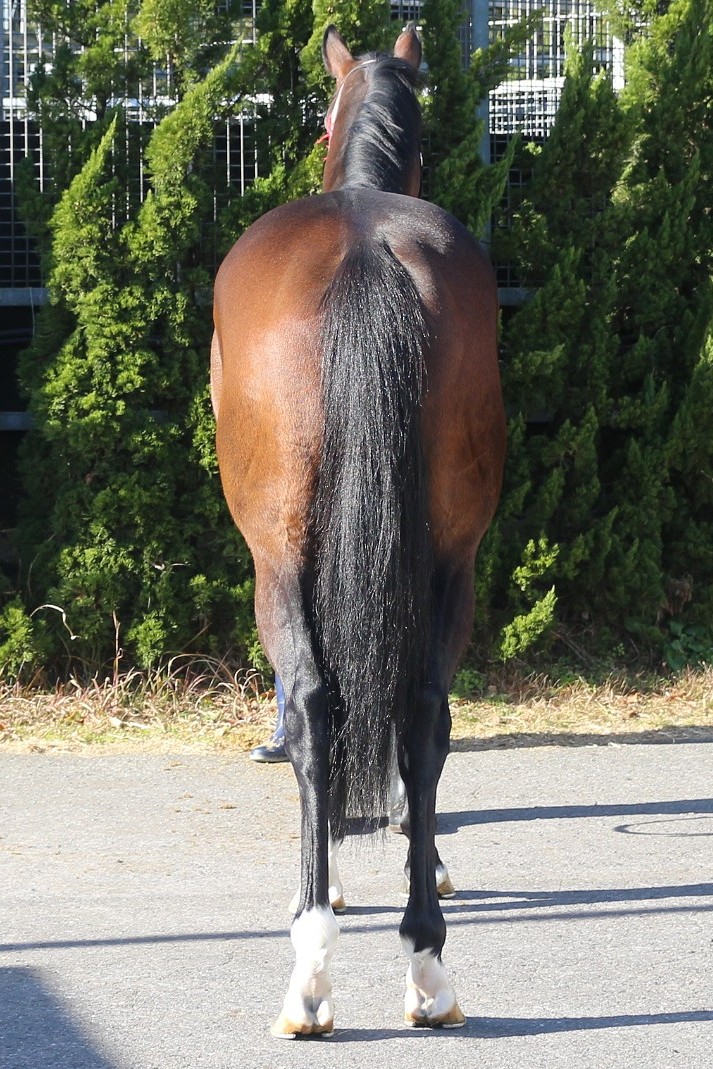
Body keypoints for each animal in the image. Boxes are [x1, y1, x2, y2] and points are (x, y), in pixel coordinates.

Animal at [211, 25, 506, 1037]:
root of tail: (365, 250)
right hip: (453, 558)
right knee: (422, 712)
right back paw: (427, 967)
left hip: (276, 557)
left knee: (313, 705)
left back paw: (310, 968)